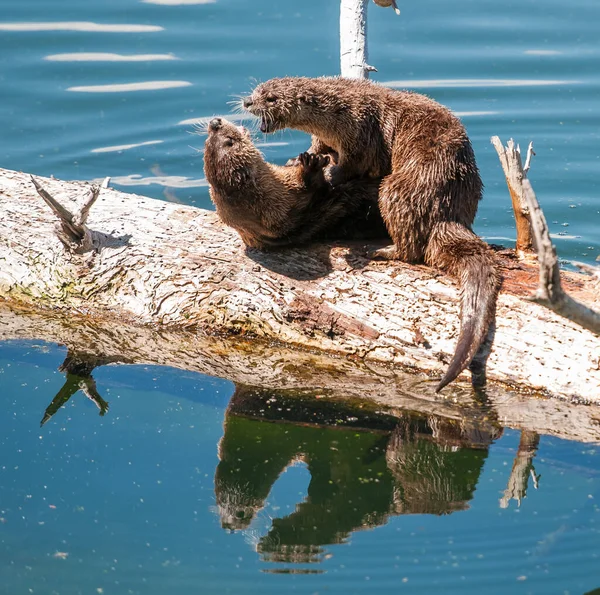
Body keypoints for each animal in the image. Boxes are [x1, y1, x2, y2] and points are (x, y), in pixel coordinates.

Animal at [244, 78, 502, 392]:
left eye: (270, 98)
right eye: (256, 91)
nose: (247, 102)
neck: (337, 112)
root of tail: (449, 213)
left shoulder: (361, 131)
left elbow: (354, 164)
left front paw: (330, 174)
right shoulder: (330, 136)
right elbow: (318, 147)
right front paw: (300, 159)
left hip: (398, 188)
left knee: (411, 248)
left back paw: (380, 251)